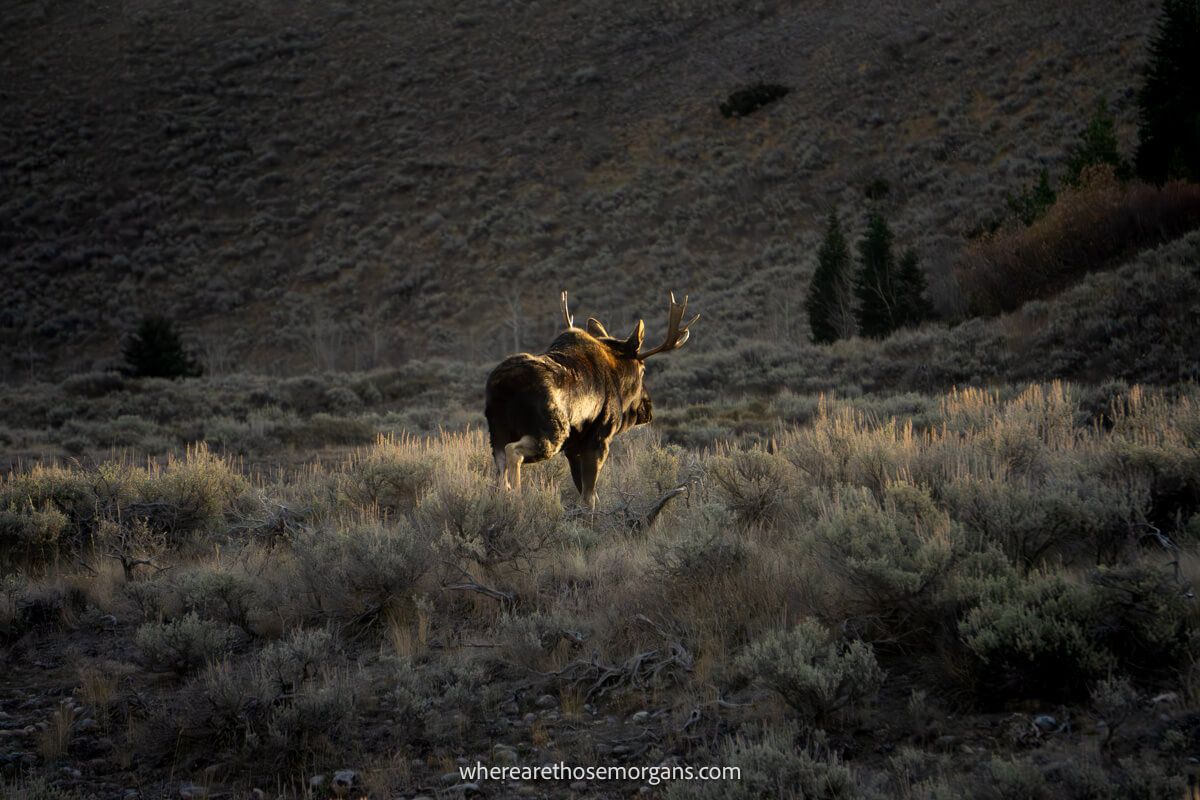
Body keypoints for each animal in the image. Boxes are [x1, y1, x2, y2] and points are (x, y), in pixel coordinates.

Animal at [482, 292, 700, 506]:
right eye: (643, 370)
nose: (648, 409)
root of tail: (502, 386)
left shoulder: (573, 448)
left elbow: (586, 492)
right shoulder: (599, 438)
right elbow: (590, 497)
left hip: (497, 432)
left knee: (500, 467)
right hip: (551, 432)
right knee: (513, 452)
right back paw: (517, 498)